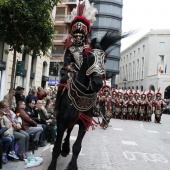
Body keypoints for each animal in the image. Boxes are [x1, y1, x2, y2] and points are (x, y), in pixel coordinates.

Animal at [47, 30, 128, 170]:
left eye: (104, 60)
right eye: (90, 57)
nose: (98, 83)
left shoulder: (84, 123)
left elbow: (77, 147)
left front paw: (72, 165)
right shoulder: (62, 121)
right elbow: (56, 147)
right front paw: (52, 165)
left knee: (70, 131)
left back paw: (66, 149)